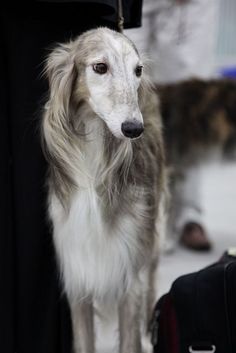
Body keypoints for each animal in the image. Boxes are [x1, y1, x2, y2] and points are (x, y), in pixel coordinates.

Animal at [41, 27, 165, 352]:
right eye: (99, 67)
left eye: (137, 70)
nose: (134, 129)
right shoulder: (79, 278)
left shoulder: (129, 276)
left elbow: (130, 339)